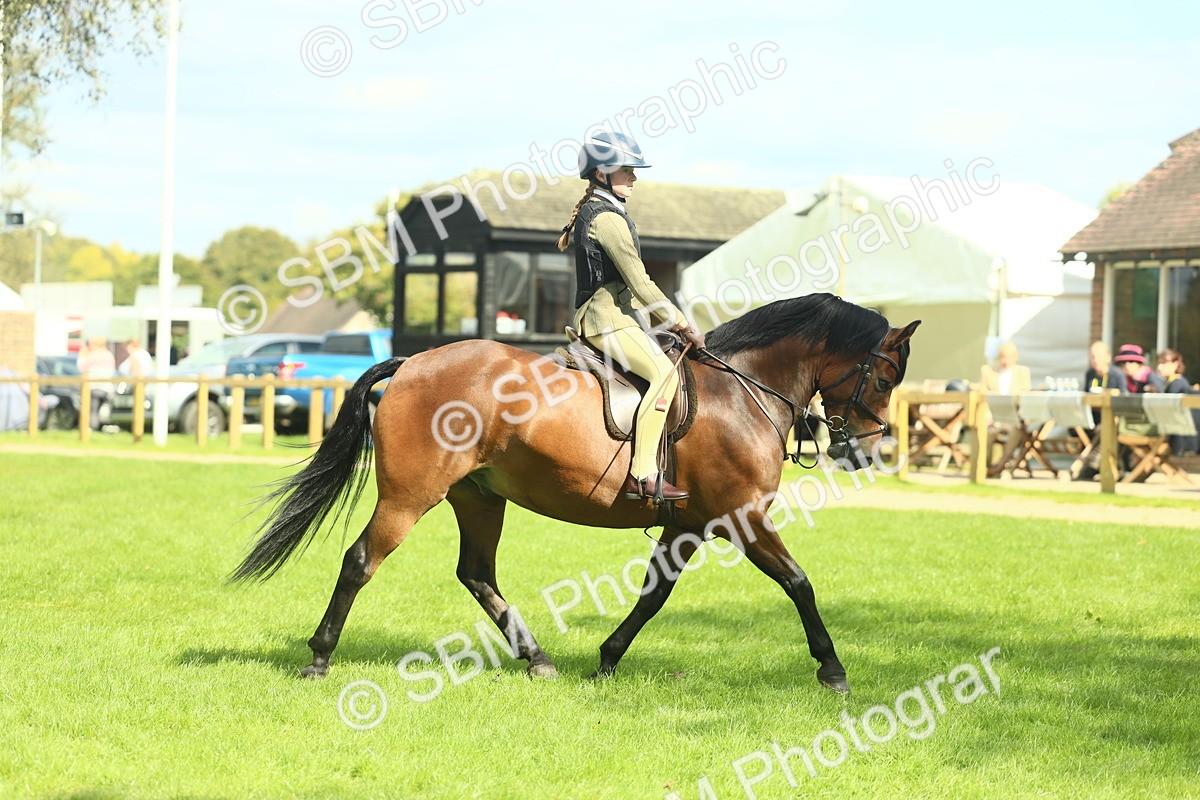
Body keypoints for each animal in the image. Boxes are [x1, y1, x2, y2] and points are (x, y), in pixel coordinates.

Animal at [232, 293, 919, 694]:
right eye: (884, 377)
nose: (866, 452)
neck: (742, 391)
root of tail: (412, 363)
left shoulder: (687, 525)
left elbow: (653, 595)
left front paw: (608, 658)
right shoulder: (742, 517)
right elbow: (799, 582)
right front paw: (832, 668)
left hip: (479, 497)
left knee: (476, 573)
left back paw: (536, 658)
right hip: (410, 495)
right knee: (360, 562)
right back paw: (319, 658)